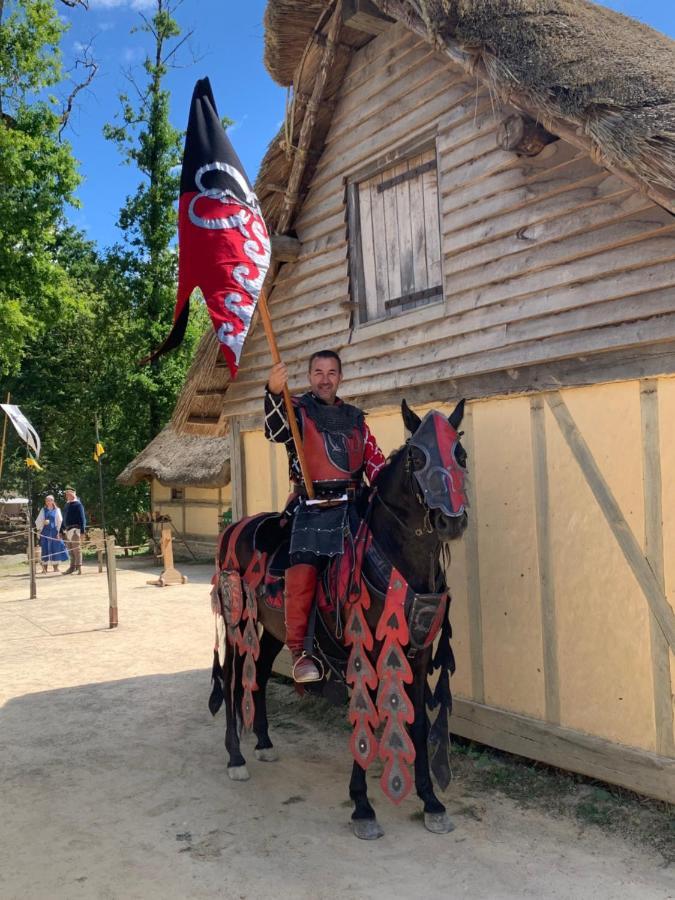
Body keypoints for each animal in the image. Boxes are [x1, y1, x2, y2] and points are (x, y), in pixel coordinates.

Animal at [211, 400, 470, 836]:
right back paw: (235, 757)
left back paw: (263, 742)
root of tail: (236, 526)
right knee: (232, 680)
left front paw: (431, 802)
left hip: (276, 628)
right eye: (417, 458)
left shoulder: (417, 653)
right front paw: (362, 806)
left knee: (260, 673)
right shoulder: (359, 651)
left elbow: (417, 724)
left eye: (461, 455)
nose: (450, 520)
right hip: (236, 624)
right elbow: (361, 719)